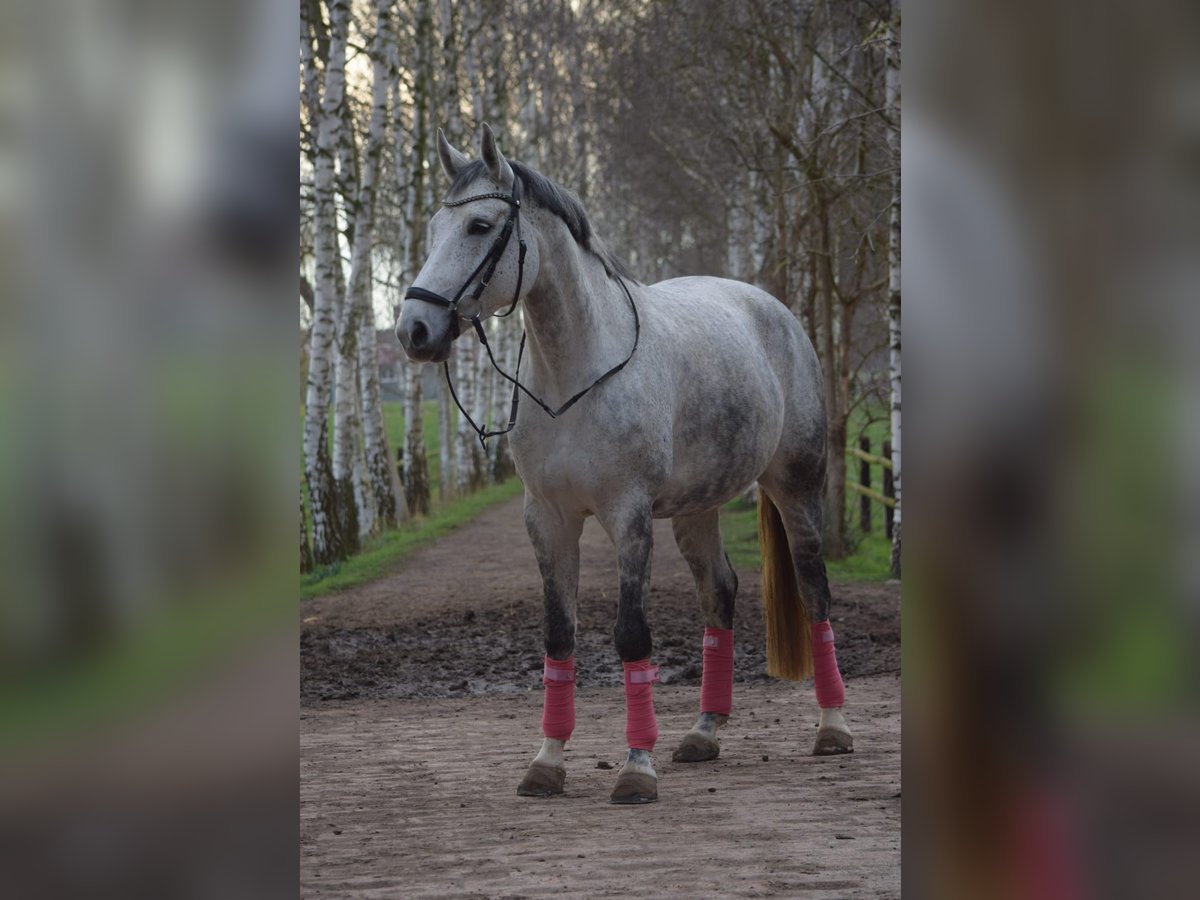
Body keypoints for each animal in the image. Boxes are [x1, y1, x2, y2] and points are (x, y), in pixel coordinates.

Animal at [398, 125, 849, 801]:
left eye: (479, 226)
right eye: (432, 228)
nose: (415, 329)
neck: (576, 374)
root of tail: (776, 311)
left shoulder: (628, 516)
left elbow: (632, 634)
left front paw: (637, 767)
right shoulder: (548, 520)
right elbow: (560, 636)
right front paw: (547, 762)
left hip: (797, 486)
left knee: (814, 589)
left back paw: (833, 728)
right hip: (697, 508)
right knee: (719, 592)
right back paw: (703, 733)